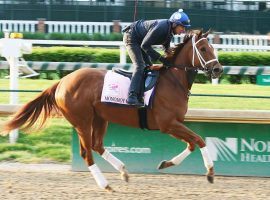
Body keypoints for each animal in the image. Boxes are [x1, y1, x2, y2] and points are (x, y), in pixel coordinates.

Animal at [2, 29, 224, 191]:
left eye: (213, 47)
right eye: (203, 48)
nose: (218, 69)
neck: (172, 81)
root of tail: (63, 81)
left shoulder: (174, 124)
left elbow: (192, 144)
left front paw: (165, 164)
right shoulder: (167, 124)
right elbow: (199, 140)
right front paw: (210, 172)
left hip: (100, 118)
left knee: (97, 145)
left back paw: (123, 171)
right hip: (82, 121)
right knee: (87, 152)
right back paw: (105, 184)